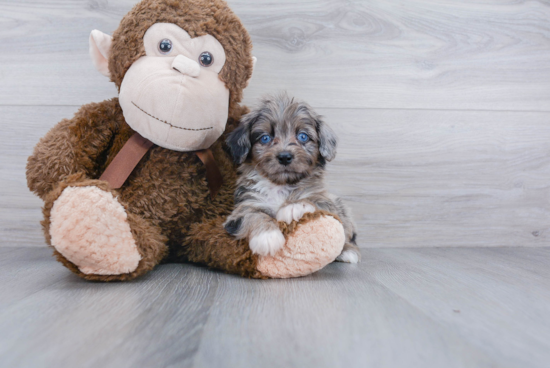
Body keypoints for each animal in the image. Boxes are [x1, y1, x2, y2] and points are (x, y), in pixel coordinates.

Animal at [224, 93, 362, 264]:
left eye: (303, 136)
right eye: (265, 138)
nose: (284, 157)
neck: (281, 185)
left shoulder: (327, 203)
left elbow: (314, 201)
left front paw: (294, 207)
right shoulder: (242, 208)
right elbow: (253, 215)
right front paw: (267, 236)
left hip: (342, 208)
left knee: (347, 234)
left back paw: (348, 251)